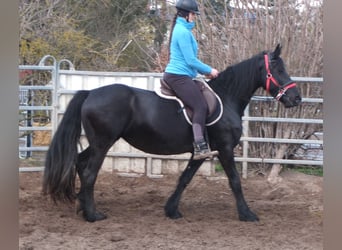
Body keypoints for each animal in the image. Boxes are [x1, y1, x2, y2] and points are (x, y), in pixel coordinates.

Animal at [43, 45, 302, 223]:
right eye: (279, 69)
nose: (297, 98)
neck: (226, 97)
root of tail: (90, 93)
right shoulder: (225, 148)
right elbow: (235, 181)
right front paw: (247, 214)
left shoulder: (201, 152)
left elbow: (184, 179)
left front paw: (172, 210)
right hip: (103, 144)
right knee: (89, 173)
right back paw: (93, 215)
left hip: (98, 143)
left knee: (79, 162)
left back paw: (81, 206)